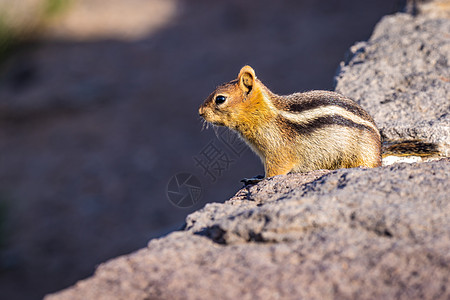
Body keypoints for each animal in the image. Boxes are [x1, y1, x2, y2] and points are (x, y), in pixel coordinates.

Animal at [200, 65, 440, 182]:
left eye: (220, 99)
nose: (200, 112)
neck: (266, 113)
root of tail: (380, 149)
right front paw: (256, 176)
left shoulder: (277, 152)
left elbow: (275, 172)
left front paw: (257, 181)